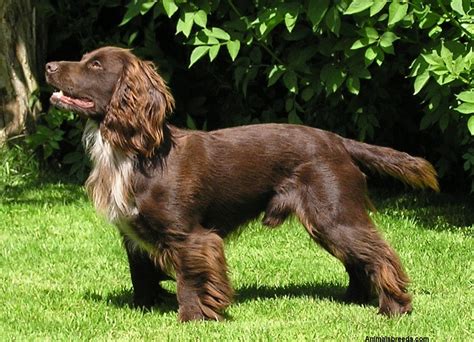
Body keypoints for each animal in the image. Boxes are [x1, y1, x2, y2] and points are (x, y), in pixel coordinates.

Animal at [46, 46, 438, 322]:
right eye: (84, 58)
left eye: (96, 66)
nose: (49, 66)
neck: (137, 151)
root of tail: (338, 141)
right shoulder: (133, 234)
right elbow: (141, 275)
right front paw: (143, 309)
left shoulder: (190, 236)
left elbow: (191, 278)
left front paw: (192, 318)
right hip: (329, 220)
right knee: (358, 258)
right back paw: (353, 299)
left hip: (334, 213)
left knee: (379, 254)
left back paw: (393, 307)